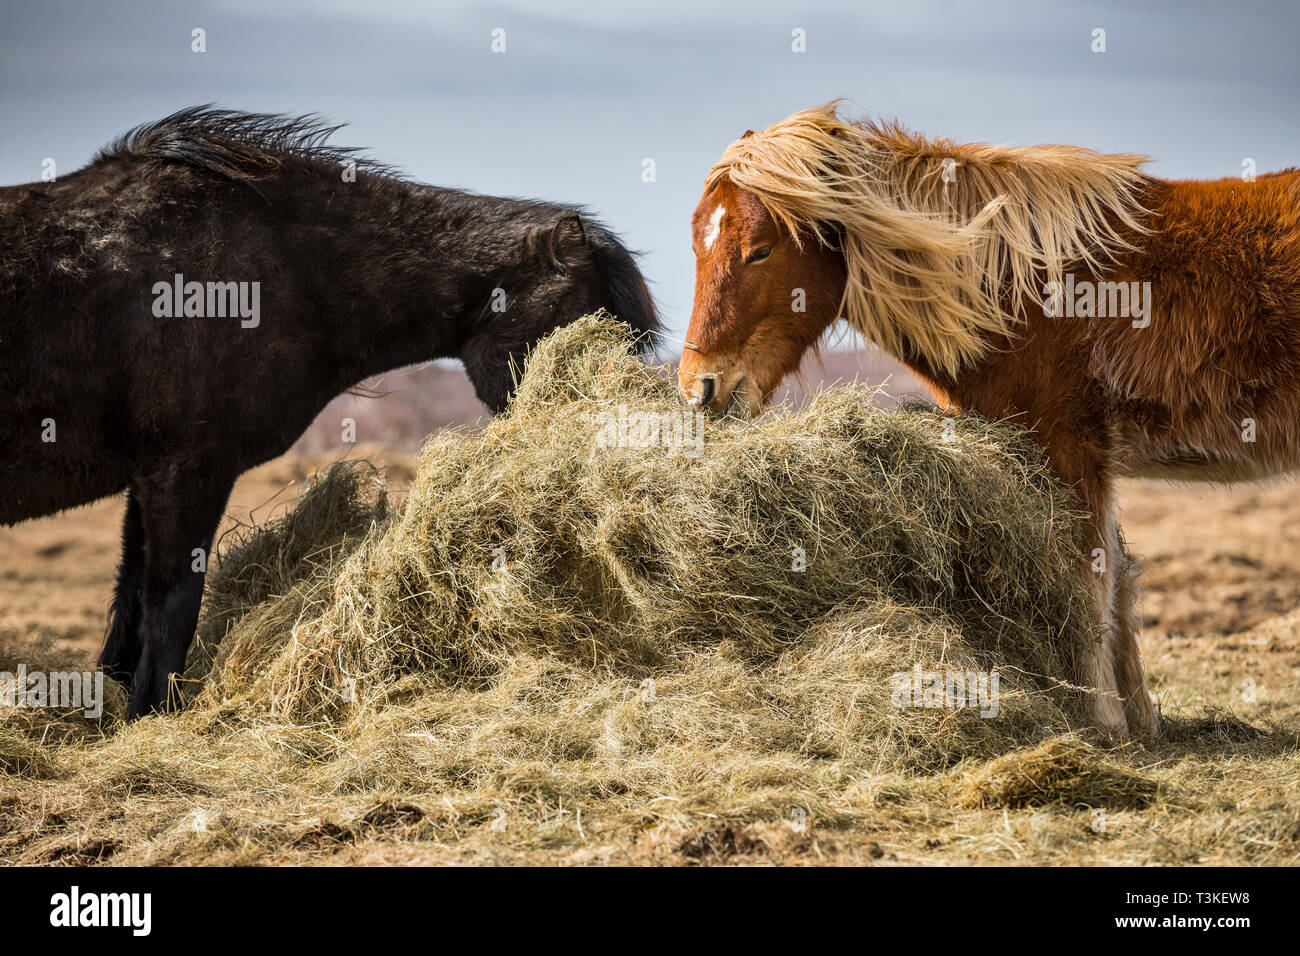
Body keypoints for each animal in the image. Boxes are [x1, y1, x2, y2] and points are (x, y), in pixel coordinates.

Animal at [2, 106, 660, 717]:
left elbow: (133, 602)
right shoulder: (186, 472)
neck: (277, 269)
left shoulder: (149, 479)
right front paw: (150, 716)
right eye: (597, 322)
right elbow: (171, 605)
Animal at [681, 100, 1300, 738]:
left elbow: (1089, 585)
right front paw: (1139, 722)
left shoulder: (1068, 448)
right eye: (698, 246)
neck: (1020, 288)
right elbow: (1119, 585)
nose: (700, 387)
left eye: (760, 249)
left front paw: (1102, 719)